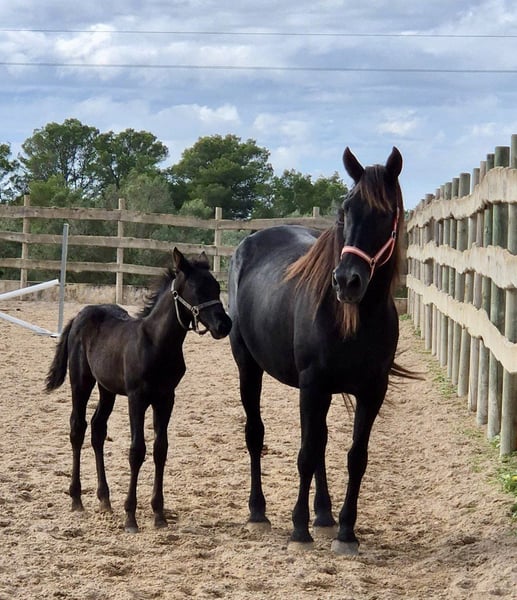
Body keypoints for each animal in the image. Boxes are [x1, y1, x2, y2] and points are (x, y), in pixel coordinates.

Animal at [46, 248, 232, 533]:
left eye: (216, 287)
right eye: (197, 289)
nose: (225, 325)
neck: (157, 343)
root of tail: (79, 316)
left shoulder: (166, 398)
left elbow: (160, 449)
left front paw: (159, 514)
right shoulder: (137, 398)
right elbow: (137, 451)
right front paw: (131, 517)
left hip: (107, 388)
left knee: (98, 429)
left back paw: (105, 499)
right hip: (81, 381)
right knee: (78, 427)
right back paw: (77, 498)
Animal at [228, 147, 406, 555]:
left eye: (386, 213)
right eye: (345, 209)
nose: (347, 281)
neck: (353, 319)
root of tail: (250, 242)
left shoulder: (372, 391)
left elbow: (355, 457)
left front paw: (346, 532)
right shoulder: (313, 386)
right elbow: (306, 454)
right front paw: (298, 529)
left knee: (321, 441)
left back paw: (323, 516)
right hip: (249, 366)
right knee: (256, 434)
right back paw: (258, 512)